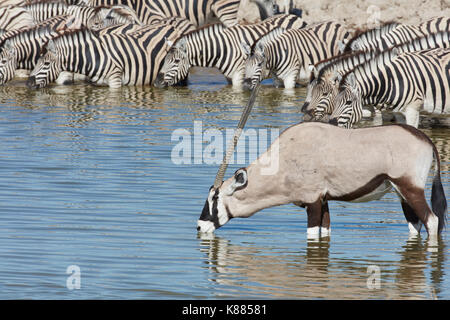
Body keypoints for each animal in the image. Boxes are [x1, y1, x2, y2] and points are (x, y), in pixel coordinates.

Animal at [26, 18, 195, 89]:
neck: (93, 57)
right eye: (37, 62)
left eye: (46, 63)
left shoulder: (115, 81)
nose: (28, 83)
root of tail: (172, 27)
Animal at [154, 13, 306, 87]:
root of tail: (294, 16)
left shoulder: (239, 75)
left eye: (176, 61)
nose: (156, 82)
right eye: (164, 60)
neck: (222, 49)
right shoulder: (228, 77)